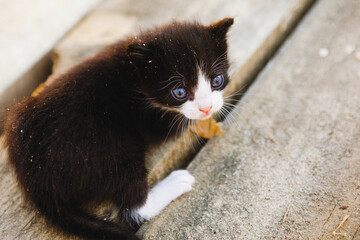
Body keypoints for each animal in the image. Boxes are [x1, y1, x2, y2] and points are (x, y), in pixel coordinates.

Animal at [2, 17, 233, 239]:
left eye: (217, 80)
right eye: (179, 92)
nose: (206, 107)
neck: (135, 75)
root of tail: (35, 179)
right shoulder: (151, 119)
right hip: (111, 149)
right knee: (133, 205)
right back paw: (175, 183)